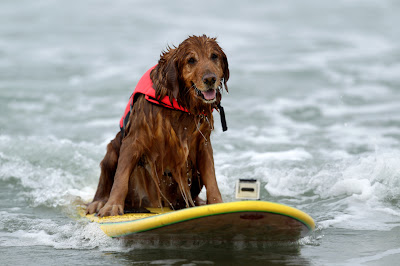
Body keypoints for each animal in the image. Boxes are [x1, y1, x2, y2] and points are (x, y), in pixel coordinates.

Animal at [86, 34, 230, 216]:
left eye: (214, 56)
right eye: (191, 60)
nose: (210, 79)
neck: (181, 104)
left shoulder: (202, 144)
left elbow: (211, 177)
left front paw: (218, 203)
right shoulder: (134, 139)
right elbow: (121, 176)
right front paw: (112, 206)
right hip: (112, 150)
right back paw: (98, 202)